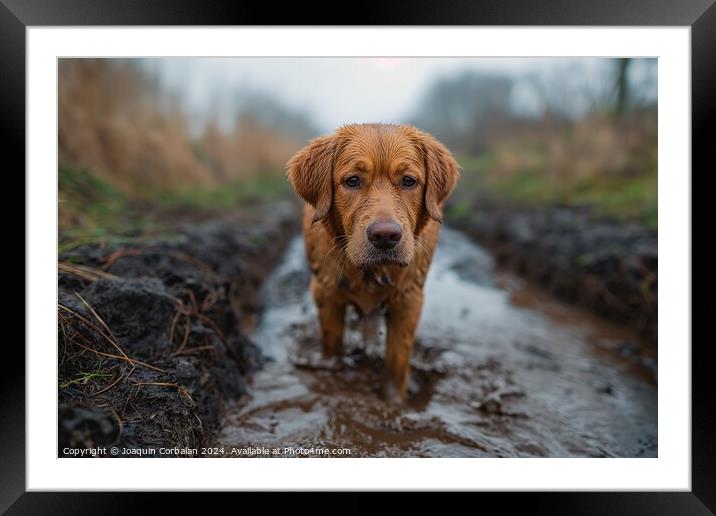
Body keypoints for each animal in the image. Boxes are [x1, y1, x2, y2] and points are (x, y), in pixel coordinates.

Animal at [286, 123, 458, 402]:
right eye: (352, 181)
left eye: (409, 181)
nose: (385, 236)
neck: (369, 272)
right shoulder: (326, 293)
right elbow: (332, 345)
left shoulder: (408, 299)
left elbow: (397, 362)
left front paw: (394, 401)